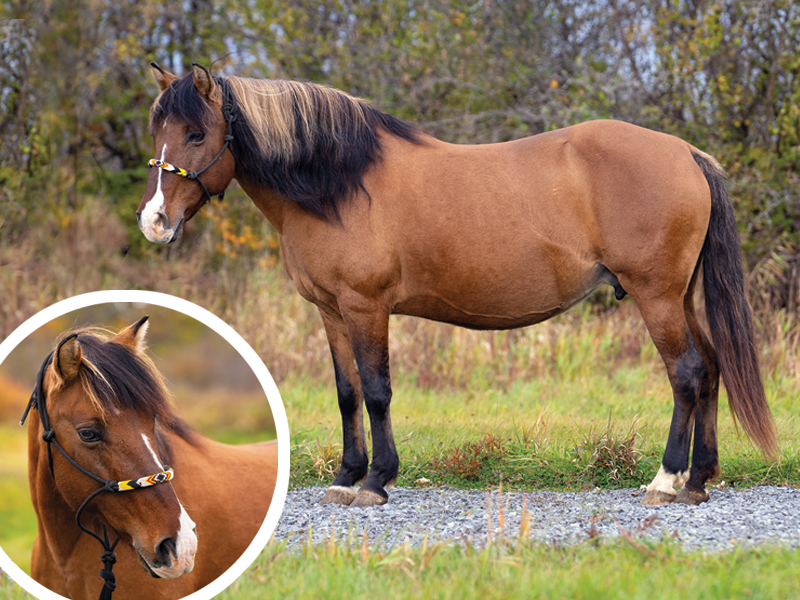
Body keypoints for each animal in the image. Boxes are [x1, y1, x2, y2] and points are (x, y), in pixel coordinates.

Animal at [137, 63, 776, 509]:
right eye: (157, 127)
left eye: (195, 133)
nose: (154, 221)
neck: (339, 184)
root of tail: (686, 153)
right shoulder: (330, 310)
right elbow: (346, 393)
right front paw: (346, 477)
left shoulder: (366, 308)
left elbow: (376, 391)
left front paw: (376, 481)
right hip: (680, 297)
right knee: (711, 368)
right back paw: (698, 481)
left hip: (655, 295)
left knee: (686, 373)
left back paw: (666, 481)